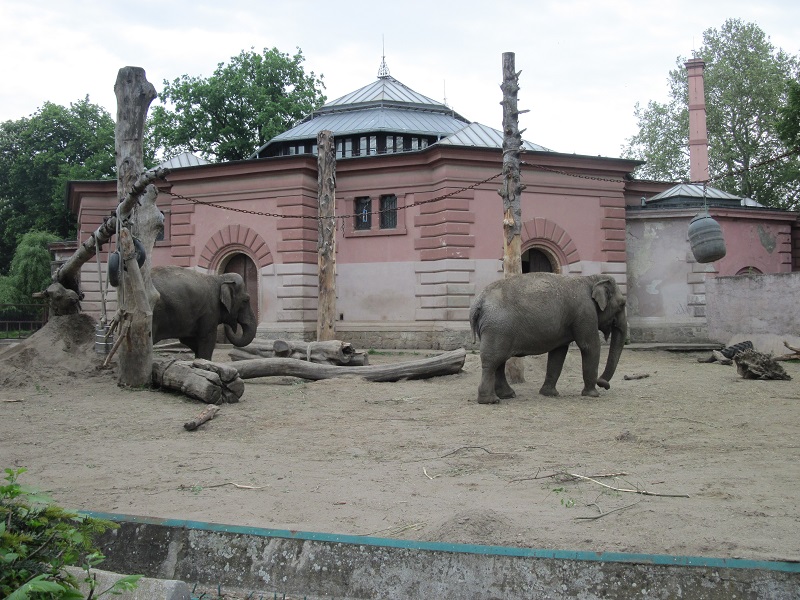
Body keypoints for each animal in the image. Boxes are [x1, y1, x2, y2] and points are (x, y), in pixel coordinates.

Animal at [469, 272, 627, 403]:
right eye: (622, 304)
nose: (604, 384)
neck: (591, 279)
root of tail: (478, 302)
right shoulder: (585, 312)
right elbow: (589, 346)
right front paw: (593, 395)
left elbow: (558, 352)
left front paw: (549, 394)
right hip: (498, 328)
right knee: (492, 361)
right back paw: (491, 400)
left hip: (495, 329)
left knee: (499, 361)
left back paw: (507, 395)